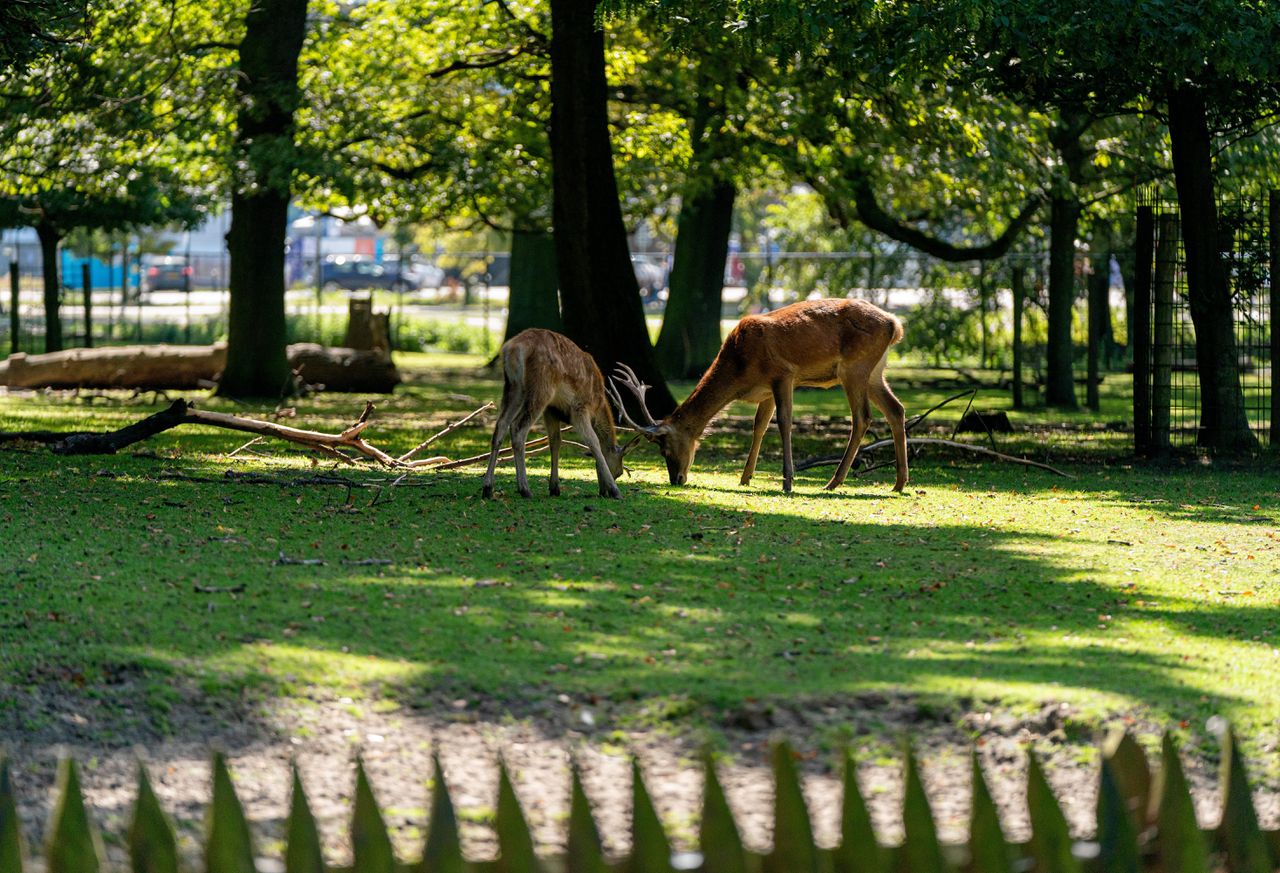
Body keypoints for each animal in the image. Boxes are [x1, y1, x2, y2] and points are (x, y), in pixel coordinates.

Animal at [481, 327, 627, 496]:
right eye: (619, 472)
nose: (603, 492)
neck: (598, 405)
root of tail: (511, 348)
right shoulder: (580, 408)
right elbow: (593, 442)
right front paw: (616, 491)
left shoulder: (551, 409)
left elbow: (556, 441)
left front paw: (554, 487)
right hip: (541, 387)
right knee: (518, 427)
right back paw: (525, 489)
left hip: (513, 387)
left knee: (501, 425)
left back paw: (487, 488)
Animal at [609, 296, 911, 488]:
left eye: (665, 448)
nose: (677, 480)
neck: (740, 369)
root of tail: (894, 325)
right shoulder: (765, 392)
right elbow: (759, 427)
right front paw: (745, 478)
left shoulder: (784, 374)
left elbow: (784, 423)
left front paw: (787, 480)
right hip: (875, 372)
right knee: (896, 409)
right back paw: (899, 483)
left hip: (854, 368)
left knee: (862, 417)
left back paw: (833, 482)